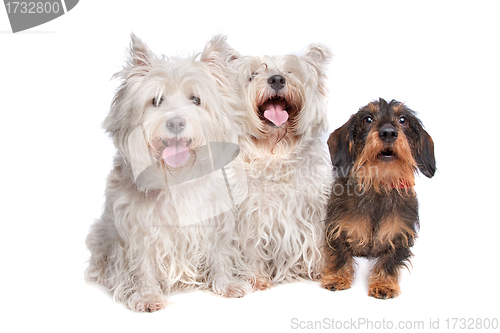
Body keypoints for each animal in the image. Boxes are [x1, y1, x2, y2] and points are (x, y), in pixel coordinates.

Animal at [85, 34, 254, 312]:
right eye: (156, 101)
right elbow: (141, 264)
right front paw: (147, 296)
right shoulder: (136, 226)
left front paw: (227, 284)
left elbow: (220, 251)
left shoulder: (216, 219)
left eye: (196, 99)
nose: (175, 122)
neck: (177, 177)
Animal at [229, 44, 332, 288]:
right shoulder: (250, 215)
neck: (276, 153)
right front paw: (256, 278)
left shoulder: (313, 209)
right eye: (253, 75)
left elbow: (316, 240)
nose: (277, 79)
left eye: (291, 72)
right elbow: (252, 247)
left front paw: (321, 269)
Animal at [322, 97, 436, 296]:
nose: (388, 132)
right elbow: (340, 254)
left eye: (403, 120)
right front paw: (336, 277)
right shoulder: (336, 228)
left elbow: (389, 261)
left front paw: (384, 284)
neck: (378, 186)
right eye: (367, 119)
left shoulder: (401, 235)